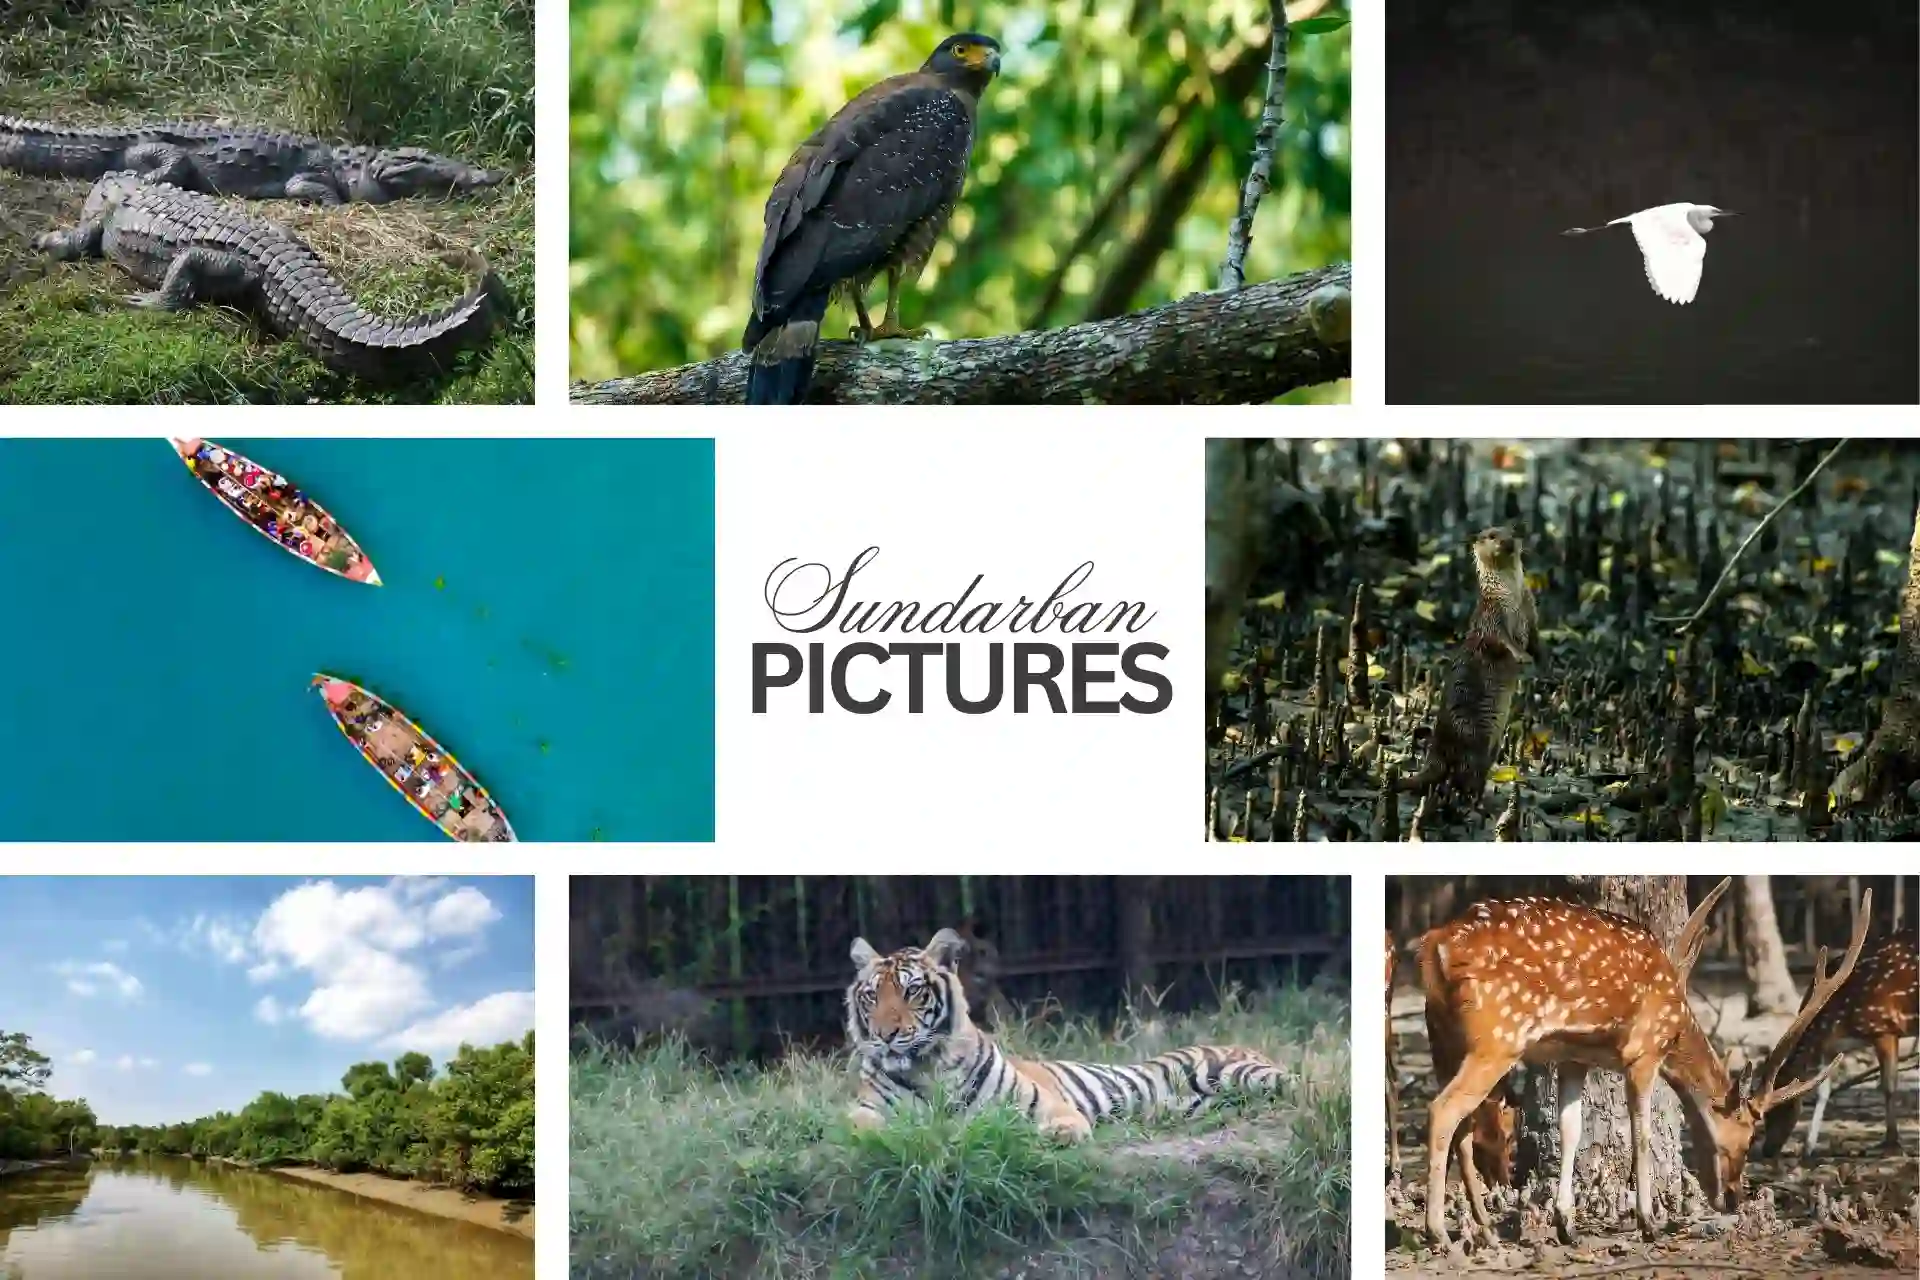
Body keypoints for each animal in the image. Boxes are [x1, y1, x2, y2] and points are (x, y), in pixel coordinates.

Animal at [1417, 879, 1870, 1252]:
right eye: (1747, 1131)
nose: (1733, 1196)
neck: (1675, 1024)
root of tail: (1435, 943)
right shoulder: (1643, 1051)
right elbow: (1642, 1131)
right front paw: (1648, 1221)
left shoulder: (1572, 1055)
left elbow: (1570, 1128)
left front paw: (1566, 1224)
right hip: (1498, 1037)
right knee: (1443, 1110)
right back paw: (1438, 1232)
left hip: (1443, 1037)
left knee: (1463, 1125)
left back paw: (1486, 1229)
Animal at [1760, 930, 1917, 1158]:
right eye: (1764, 1115)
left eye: (1786, 1105)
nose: (1768, 1150)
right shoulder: (1831, 1048)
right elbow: (1823, 1092)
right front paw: (1808, 1147)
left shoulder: (1884, 1026)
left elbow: (1888, 1086)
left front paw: (1891, 1143)